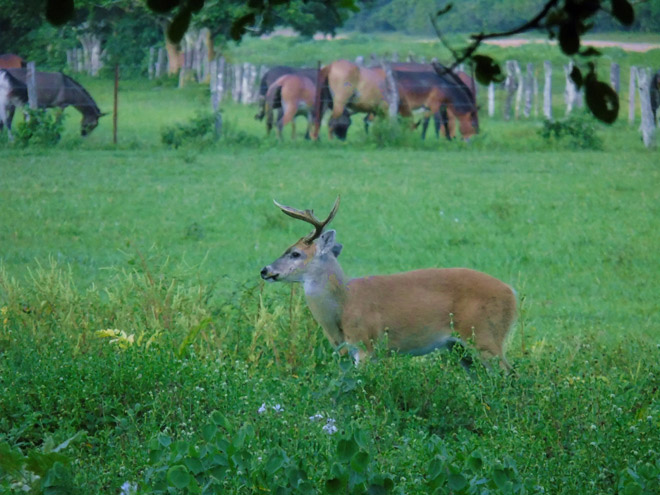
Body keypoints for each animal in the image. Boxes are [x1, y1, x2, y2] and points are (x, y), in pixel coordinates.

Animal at [260, 196, 520, 370]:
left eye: (295, 253)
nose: (265, 270)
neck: (343, 304)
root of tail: (513, 294)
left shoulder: (366, 344)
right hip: (460, 349)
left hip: (486, 335)